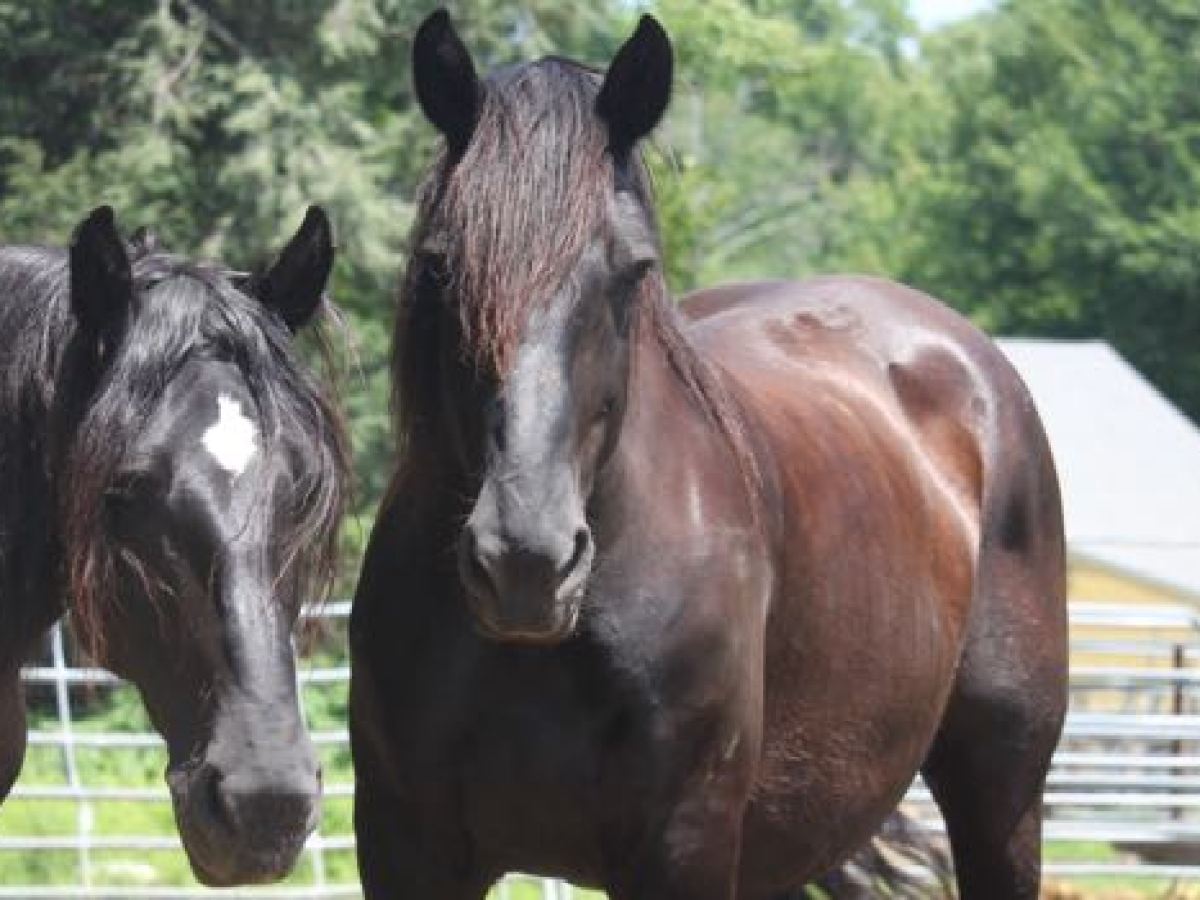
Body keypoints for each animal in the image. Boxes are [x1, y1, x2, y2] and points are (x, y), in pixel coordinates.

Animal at [350, 12, 1067, 899]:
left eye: (631, 271)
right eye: (441, 264)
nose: (526, 561)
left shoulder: (683, 845)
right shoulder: (408, 847)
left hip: (1001, 797)